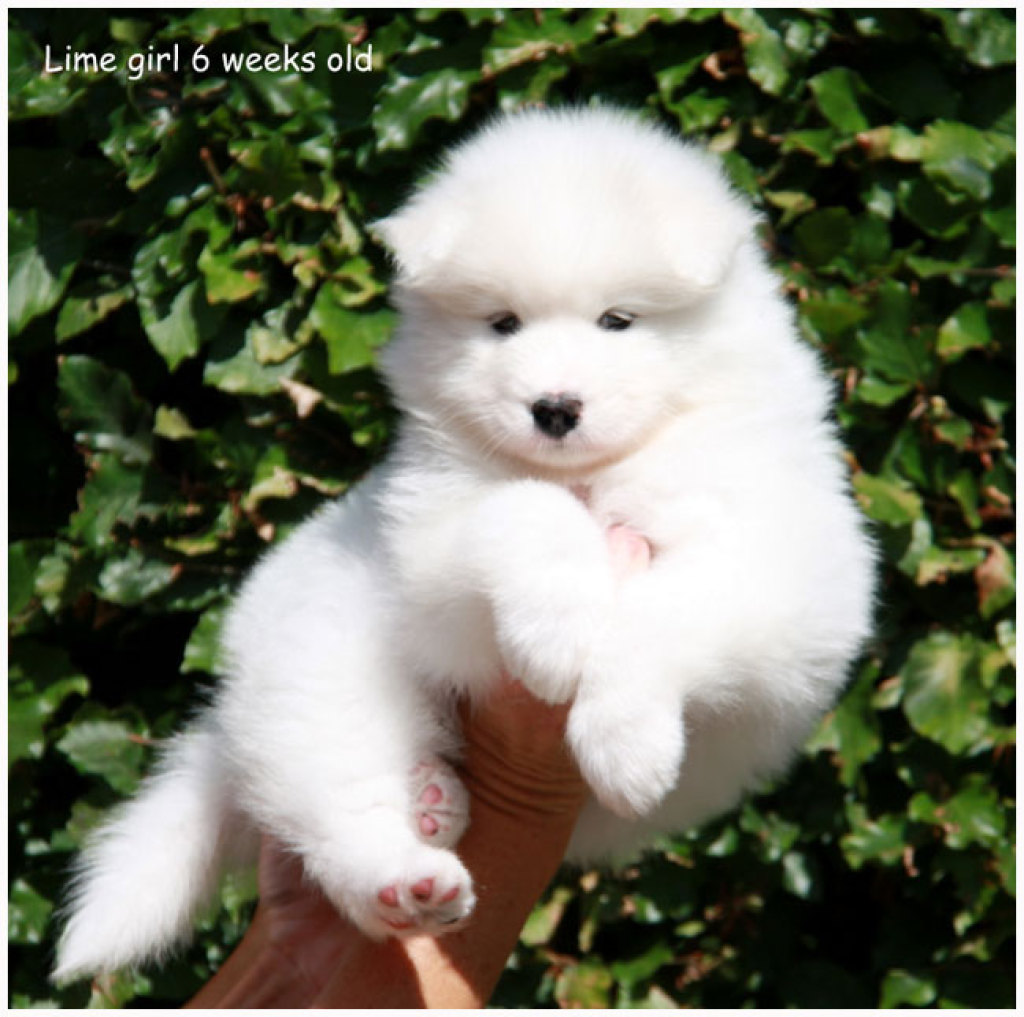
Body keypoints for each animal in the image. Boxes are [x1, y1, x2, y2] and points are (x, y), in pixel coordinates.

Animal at [53, 106, 875, 981]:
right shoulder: (431, 531)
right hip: (322, 667)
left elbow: (660, 618)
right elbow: (521, 511)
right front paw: (558, 633)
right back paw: (404, 879)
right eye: (502, 324)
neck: (599, 471)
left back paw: (434, 804)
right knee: (337, 807)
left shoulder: (787, 564)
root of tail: (231, 715)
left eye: (618, 321)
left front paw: (625, 740)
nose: (554, 407)